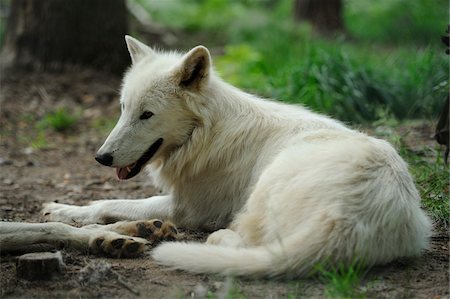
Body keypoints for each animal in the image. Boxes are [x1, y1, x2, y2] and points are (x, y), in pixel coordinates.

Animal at [0, 36, 432, 278]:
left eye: (147, 115)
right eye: (123, 108)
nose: (101, 158)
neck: (207, 134)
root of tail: (347, 220)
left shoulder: (187, 208)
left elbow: (108, 203)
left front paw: (63, 209)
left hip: (266, 185)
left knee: (252, 243)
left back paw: (216, 239)